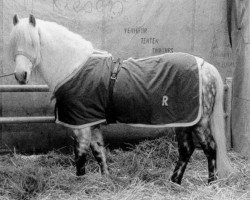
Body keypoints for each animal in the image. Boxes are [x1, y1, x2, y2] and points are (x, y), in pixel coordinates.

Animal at [8, 14, 234, 184]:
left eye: (32, 43)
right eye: (13, 43)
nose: (20, 75)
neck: (74, 67)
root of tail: (204, 65)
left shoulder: (81, 126)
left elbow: (80, 157)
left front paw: (80, 183)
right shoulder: (93, 122)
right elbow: (99, 152)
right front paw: (106, 180)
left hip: (200, 122)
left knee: (210, 148)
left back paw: (211, 183)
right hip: (184, 122)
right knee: (186, 150)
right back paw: (174, 182)